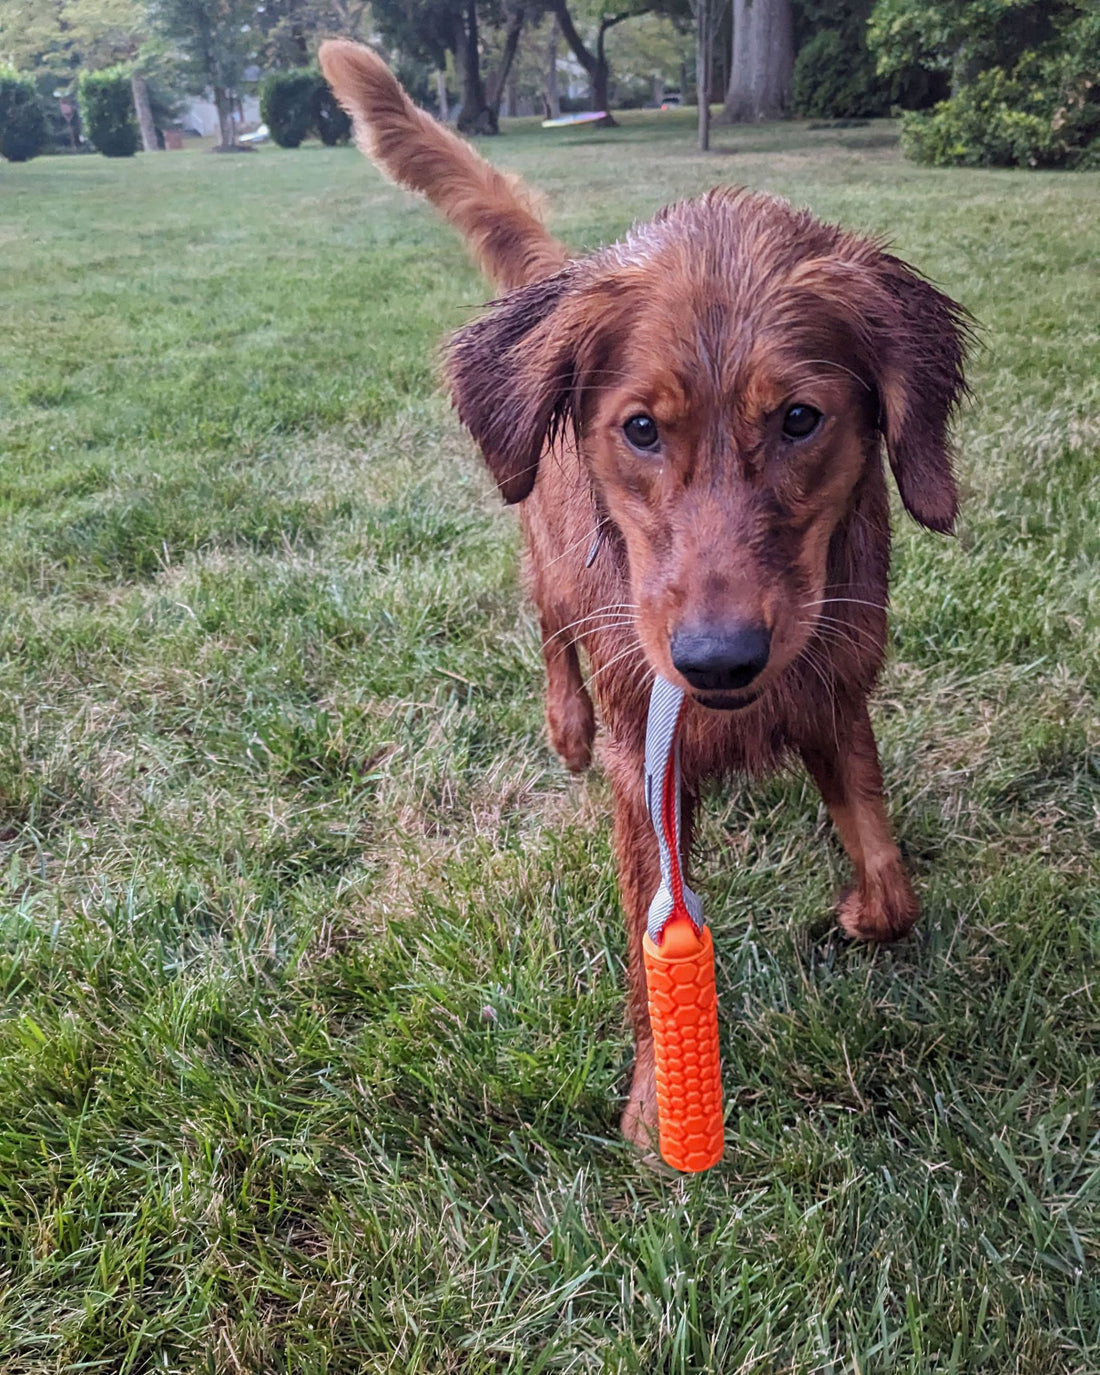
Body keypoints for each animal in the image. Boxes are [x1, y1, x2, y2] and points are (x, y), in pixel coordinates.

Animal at [320, 40, 973, 1149]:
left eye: (800, 418)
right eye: (639, 429)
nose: (717, 660)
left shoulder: (836, 694)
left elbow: (891, 883)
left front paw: (856, 911)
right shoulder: (645, 758)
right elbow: (644, 929)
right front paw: (654, 1094)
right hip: (548, 566)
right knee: (548, 636)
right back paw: (563, 723)